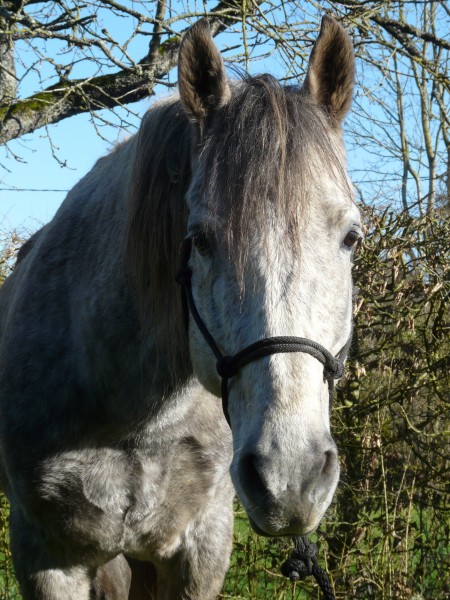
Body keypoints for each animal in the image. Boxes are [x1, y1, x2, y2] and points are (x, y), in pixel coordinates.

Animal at [0, 15, 360, 600]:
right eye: (201, 240)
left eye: (351, 237)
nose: (290, 476)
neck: (136, 419)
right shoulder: (45, 555)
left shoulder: (200, 551)